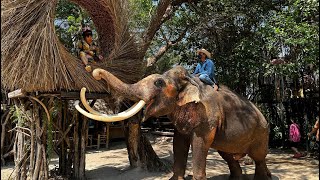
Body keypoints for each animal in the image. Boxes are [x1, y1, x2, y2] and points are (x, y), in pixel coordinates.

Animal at [76, 65, 272, 180]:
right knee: (228, 155)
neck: (190, 80)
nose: (95, 72)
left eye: (158, 82)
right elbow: (178, 143)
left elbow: (200, 143)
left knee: (258, 156)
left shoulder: (207, 116)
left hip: (261, 133)